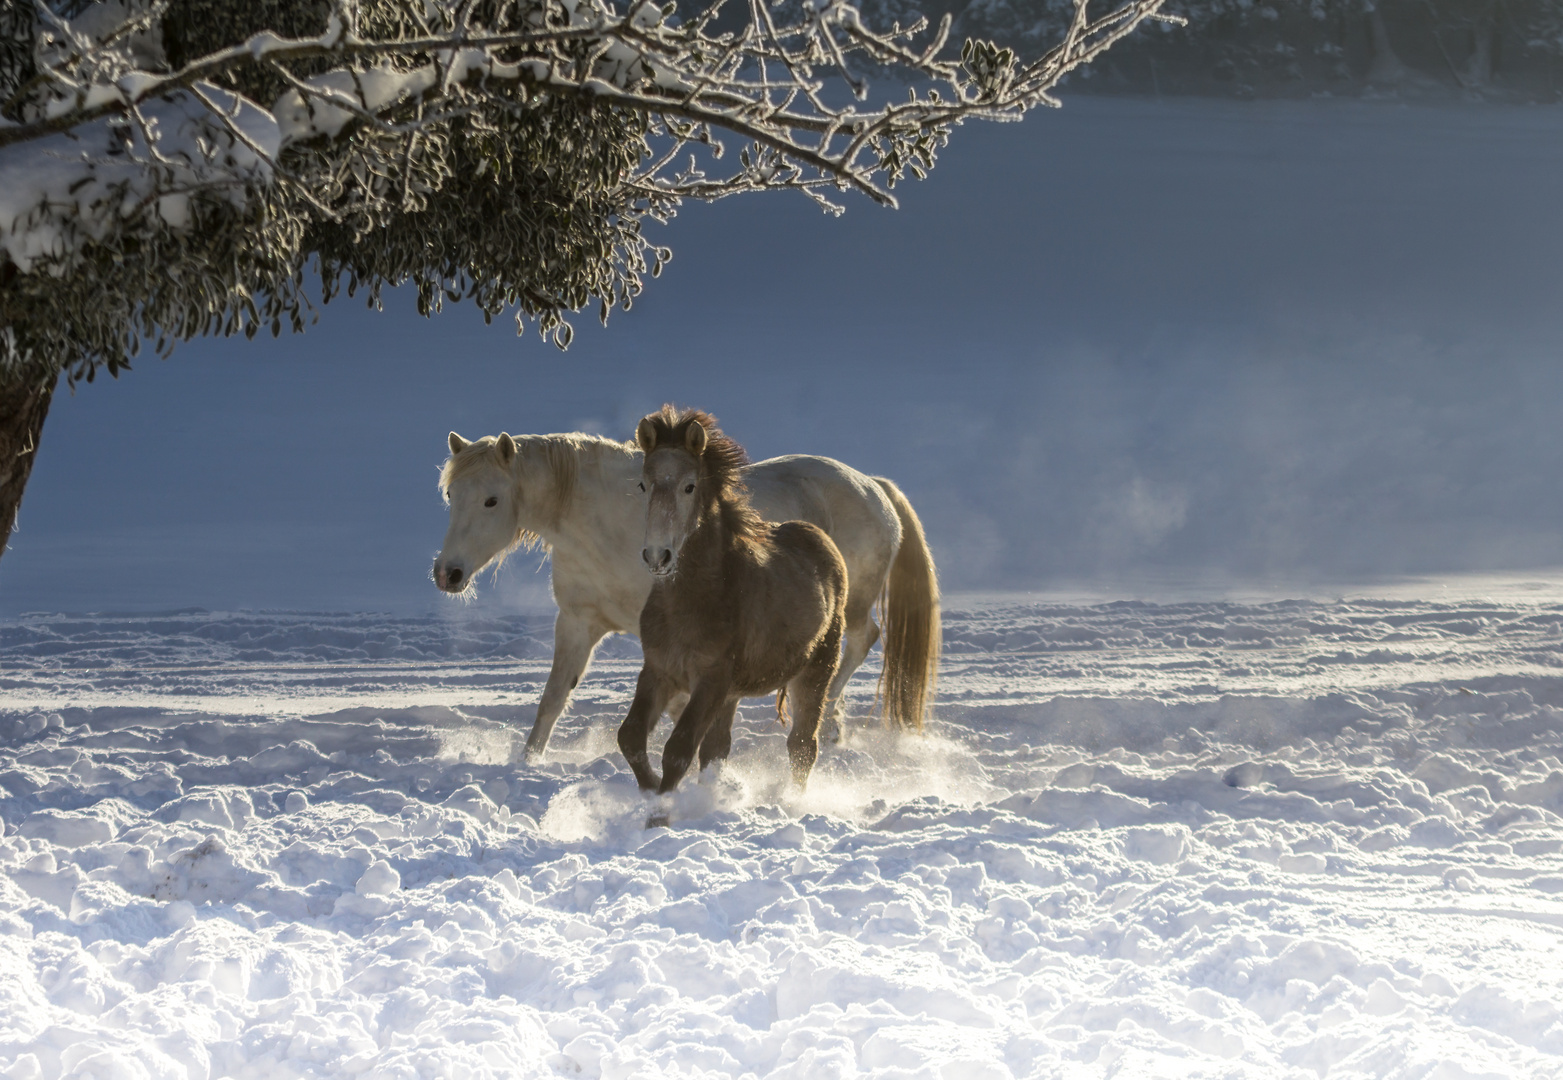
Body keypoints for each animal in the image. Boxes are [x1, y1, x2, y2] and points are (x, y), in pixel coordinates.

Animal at [431, 431, 937, 759]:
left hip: (848, 606)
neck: (602, 521)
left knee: (862, 641)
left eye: (492, 500)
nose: (447, 574)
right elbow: (554, 697)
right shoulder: (578, 621)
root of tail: (874, 487)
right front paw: (528, 761)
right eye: (451, 495)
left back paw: (830, 718)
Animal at [615, 406, 850, 800]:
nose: (657, 556)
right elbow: (630, 737)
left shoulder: (711, 678)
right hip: (730, 695)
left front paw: (662, 809)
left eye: (689, 486)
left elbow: (678, 748)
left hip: (815, 670)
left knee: (802, 746)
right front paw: (650, 794)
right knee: (717, 749)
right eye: (643, 485)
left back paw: (793, 801)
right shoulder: (659, 670)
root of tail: (823, 543)